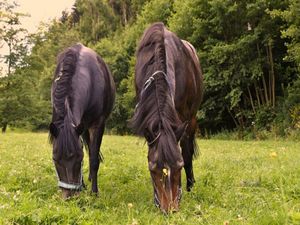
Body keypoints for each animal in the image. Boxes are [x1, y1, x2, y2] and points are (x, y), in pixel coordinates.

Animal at [49, 43, 115, 198]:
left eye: (79, 158)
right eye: (55, 159)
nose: (69, 196)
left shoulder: (98, 124)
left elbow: (93, 158)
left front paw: (94, 192)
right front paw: (83, 185)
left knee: (92, 152)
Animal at [131, 22, 204, 213]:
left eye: (178, 166)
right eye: (152, 169)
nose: (170, 210)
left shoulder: (183, 119)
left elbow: (185, 153)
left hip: (192, 120)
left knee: (188, 150)